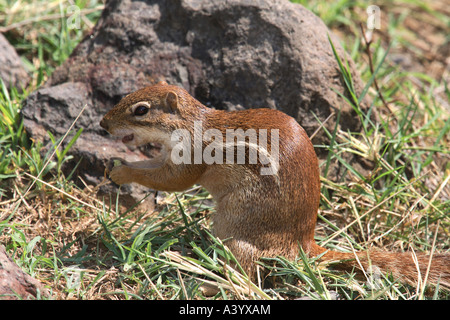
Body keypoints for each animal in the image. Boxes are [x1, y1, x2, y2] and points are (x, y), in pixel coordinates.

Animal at [100, 81, 448, 288]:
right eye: (127, 95)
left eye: (141, 110)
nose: (102, 125)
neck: (191, 124)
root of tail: (302, 245)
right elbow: (154, 169)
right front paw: (115, 167)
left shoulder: (191, 158)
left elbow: (171, 181)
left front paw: (123, 173)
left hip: (234, 227)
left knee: (248, 272)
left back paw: (206, 280)